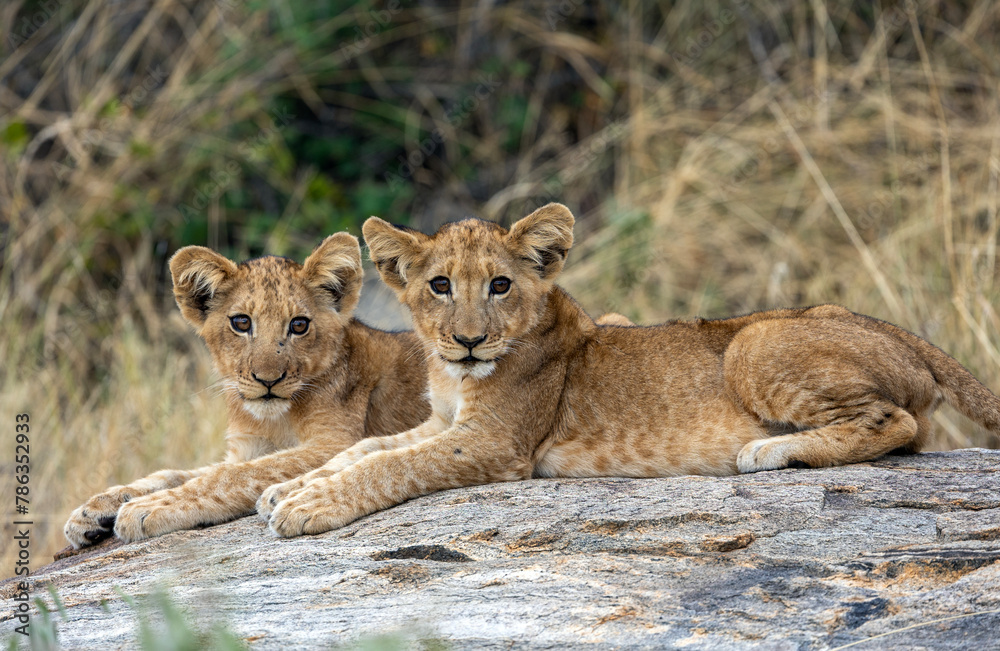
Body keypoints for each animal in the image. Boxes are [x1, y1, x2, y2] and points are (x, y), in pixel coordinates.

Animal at [63, 234, 430, 547]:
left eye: (299, 325)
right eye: (241, 323)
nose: (268, 379)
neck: (272, 419)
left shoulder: (337, 442)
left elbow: (230, 476)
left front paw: (147, 507)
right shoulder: (247, 447)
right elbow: (178, 472)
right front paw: (96, 508)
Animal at [258, 203, 1000, 538]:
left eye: (500, 285)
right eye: (439, 286)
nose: (469, 341)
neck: (455, 375)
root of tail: (896, 330)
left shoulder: (496, 443)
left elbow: (390, 465)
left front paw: (308, 505)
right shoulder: (443, 422)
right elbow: (367, 448)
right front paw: (287, 487)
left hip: (753, 341)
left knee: (897, 423)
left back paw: (771, 450)